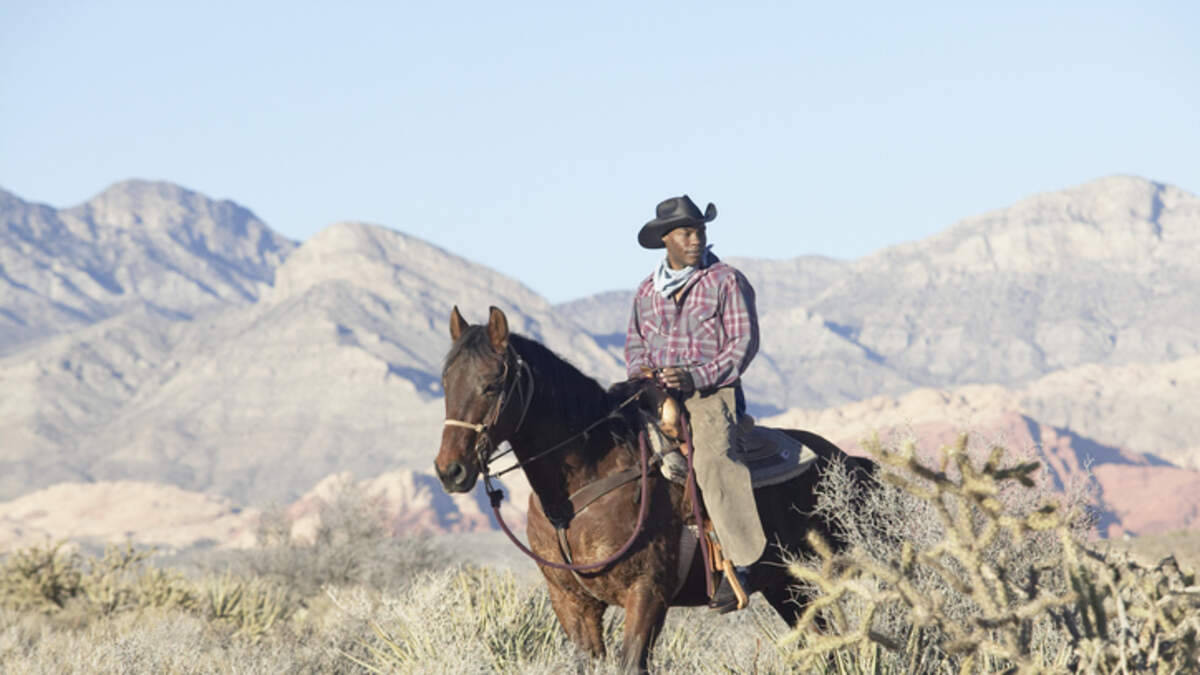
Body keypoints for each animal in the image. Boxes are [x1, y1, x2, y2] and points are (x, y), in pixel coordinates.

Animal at [434, 306, 876, 672]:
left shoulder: (647, 592)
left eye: (491, 385)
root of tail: (848, 460)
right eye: (445, 383)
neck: (575, 496)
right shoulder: (571, 602)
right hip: (787, 587)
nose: (449, 470)